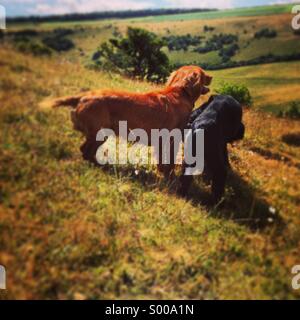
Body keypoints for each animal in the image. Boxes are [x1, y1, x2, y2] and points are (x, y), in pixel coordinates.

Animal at [54, 65, 213, 175]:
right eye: (204, 73)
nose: (212, 76)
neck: (180, 92)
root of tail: (84, 96)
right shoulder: (172, 139)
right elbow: (169, 162)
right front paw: (168, 176)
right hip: (100, 133)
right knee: (86, 150)